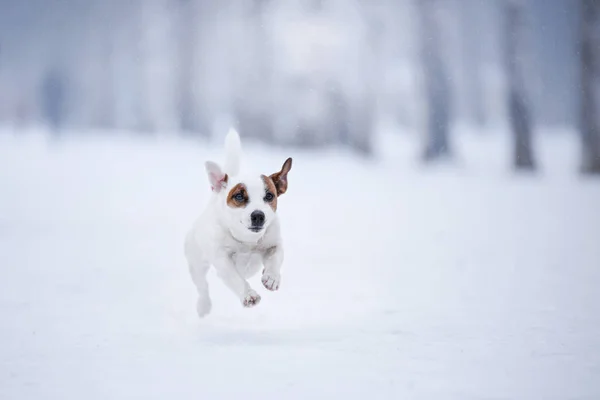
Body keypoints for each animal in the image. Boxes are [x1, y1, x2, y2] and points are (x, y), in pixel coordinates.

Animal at [185, 127, 292, 316]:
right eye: (239, 196)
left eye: (269, 196)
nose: (258, 215)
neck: (247, 240)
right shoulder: (222, 258)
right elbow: (234, 277)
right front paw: (248, 295)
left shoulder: (274, 243)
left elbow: (276, 257)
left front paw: (271, 277)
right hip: (196, 261)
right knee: (202, 285)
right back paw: (204, 305)